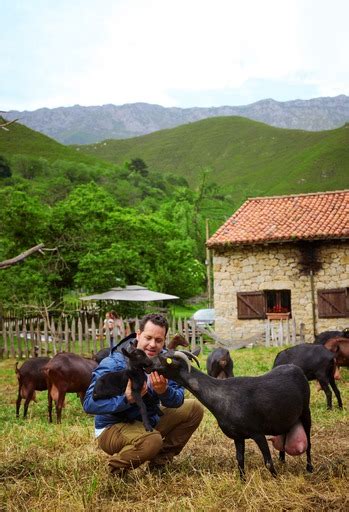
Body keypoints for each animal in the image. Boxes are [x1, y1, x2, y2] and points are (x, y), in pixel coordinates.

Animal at [150, 350, 312, 478]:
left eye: (163, 359)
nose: (146, 362)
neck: (221, 395)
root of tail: (296, 368)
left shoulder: (257, 433)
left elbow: (267, 462)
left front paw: (276, 479)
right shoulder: (238, 436)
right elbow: (240, 460)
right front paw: (242, 482)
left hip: (305, 412)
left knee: (309, 443)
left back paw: (309, 468)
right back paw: (282, 461)